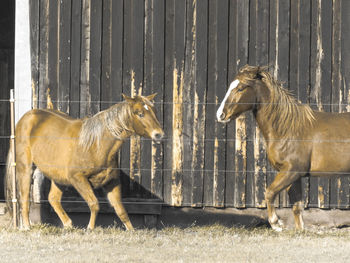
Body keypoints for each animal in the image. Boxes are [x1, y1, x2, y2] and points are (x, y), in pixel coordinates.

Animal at [5, 94, 164, 230]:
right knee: (24, 197)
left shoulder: (111, 181)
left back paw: (68, 225)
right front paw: (90, 228)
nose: (159, 134)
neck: (96, 144)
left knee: (53, 199)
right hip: (25, 168)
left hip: (59, 177)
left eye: (155, 111)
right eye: (140, 113)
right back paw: (27, 226)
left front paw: (131, 230)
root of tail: (26, 117)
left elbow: (120, 209)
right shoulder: (78, 178)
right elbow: (94, 204)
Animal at [216, 65, 350, 231]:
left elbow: (269, 192)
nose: (220, 115)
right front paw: (299, 230)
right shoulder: (294, 176)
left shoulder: (291, 171)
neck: (288, 129)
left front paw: (276, 223)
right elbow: (297, 207)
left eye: (241, 88)